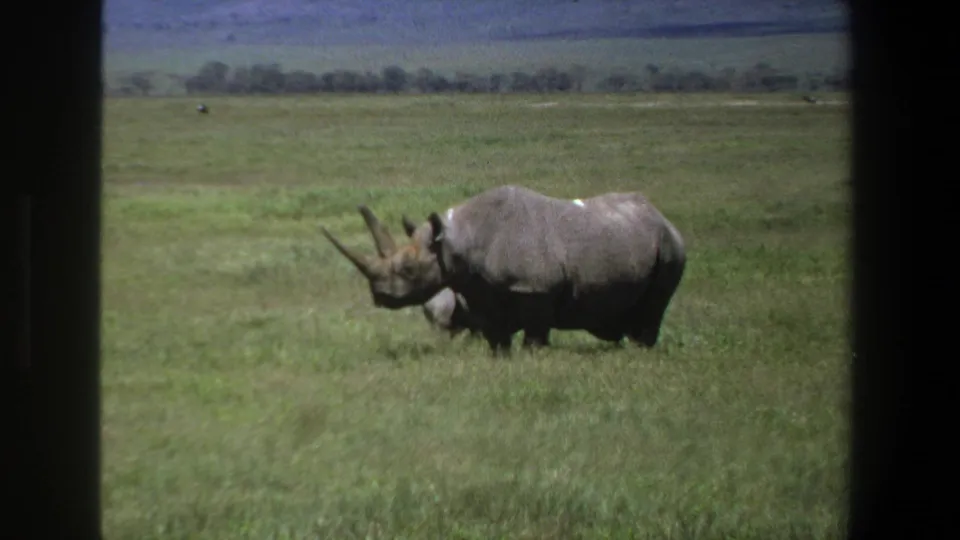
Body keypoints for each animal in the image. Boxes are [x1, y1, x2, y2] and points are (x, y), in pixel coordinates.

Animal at [321, 185, 686, 355]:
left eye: (409, 269)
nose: (379, 296)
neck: (456, 240)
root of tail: (662, 216)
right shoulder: (480, 292)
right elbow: (496, 337)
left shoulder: (536, 289)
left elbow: (535, 337)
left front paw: (534, 357)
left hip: (670, 249)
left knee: (654, 308)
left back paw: (640, 351)